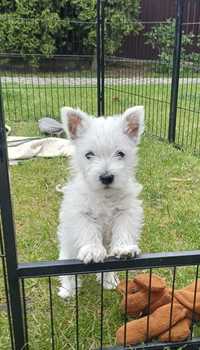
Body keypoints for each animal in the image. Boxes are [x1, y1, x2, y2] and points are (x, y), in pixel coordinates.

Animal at [56, 106, 144, 298]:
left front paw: (125, 249)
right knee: (66, 266)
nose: (106, 177)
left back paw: (109, 281)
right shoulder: (81, 213)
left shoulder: (126, 211)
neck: (105, 195)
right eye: (89, 154)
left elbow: (124, 229)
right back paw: (68, 290)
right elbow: (88, 231)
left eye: (120, 153)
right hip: (67, 245)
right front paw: (93, 250)